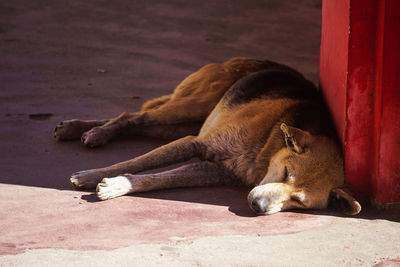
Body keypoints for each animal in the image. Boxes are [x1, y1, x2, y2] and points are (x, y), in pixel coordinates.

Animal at [54, 57, 360, 216]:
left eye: (299, 202)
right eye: (286, 173)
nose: (258, 206)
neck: (267, 147)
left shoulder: (214, 170)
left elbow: (155, 179)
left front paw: (118, 186)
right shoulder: (195, 142)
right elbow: (133, 164)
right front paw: (92, 175)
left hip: (180, 122)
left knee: (135, 121)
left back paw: (81, 128)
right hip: (191, 107)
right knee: (133, 116)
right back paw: (93, 131)